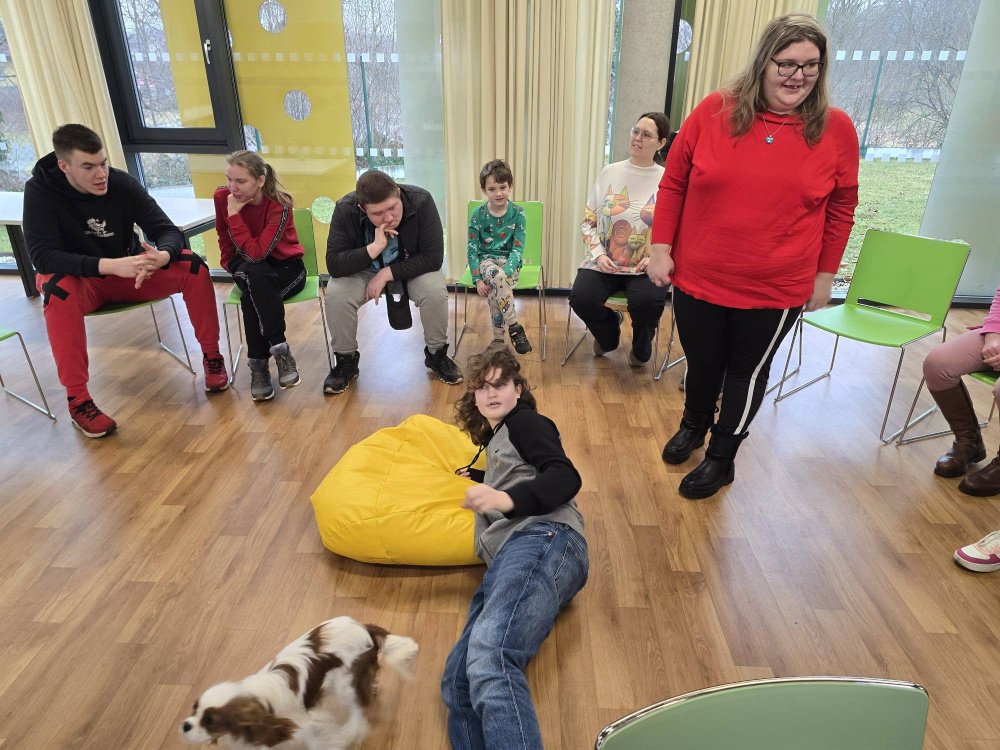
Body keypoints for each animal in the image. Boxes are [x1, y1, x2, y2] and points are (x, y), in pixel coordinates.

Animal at [180, 616, 418, 749]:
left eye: (209, 720)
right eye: (194, 708)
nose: (185, 725)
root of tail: (364, 627)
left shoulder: (305, 723)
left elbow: (318, 739)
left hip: (345, 684)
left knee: (359, 708)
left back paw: (352, 731)